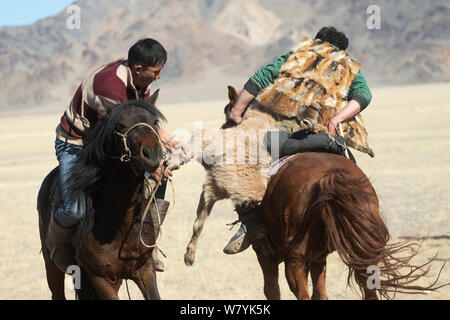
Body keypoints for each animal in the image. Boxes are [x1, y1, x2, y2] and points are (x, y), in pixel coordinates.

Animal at [37, 96, 167, 298]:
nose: (152, 154)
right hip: (52, 266)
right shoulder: (101, 278)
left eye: (155, 121)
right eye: (120, 125)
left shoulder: (145, 269)